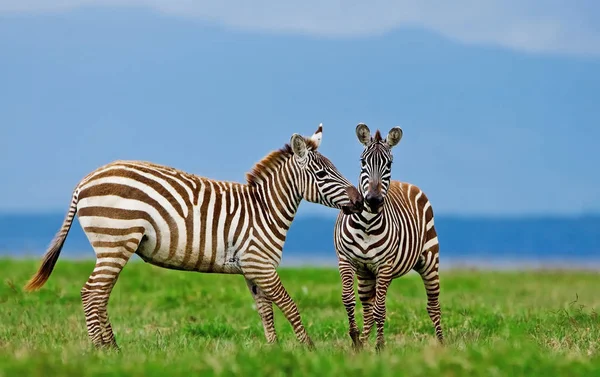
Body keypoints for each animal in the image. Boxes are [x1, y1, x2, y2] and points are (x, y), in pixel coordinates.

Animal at [23, 124, 364, 350]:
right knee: (91, 293)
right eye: (322, 175)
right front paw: (308, 349)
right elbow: (289, 305)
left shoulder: (253, 268)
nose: (361, 200)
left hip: (112, 246)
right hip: (115, 240)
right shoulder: (260, 263)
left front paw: (273, 350)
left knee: (98, 295)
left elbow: (265, 309)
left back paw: (113, 348)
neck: (265, 209)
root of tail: (85, 180)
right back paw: (102, 350)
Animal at [336, 122, 442, 350]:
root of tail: (404, 183)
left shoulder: (384, 265)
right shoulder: (345, 260)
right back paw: (363, 341)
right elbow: (349, 299)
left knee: (433, 305)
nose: (374, 200)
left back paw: (442, 343)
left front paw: (380, 346)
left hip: (429, 260)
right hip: (367, 274)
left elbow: (380, 309)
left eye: (389, 164)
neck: (367, 223)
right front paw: (356, 339)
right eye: (363, 162)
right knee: (368, 306)